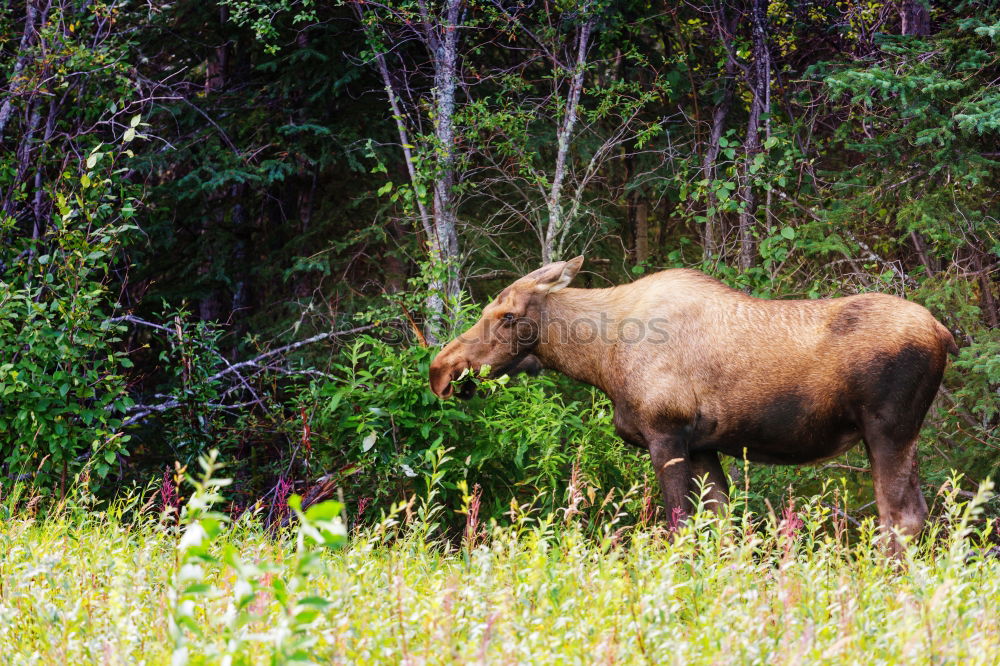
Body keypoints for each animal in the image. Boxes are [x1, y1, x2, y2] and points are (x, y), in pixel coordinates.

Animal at [426, 256, 956, 536]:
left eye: (507, 316)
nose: (440, 371)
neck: (601, 361)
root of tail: (944, 333)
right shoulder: (703, 446)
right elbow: (720, 524)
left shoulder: (668, 434)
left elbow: (678, 525)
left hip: (889, 430)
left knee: (902, 518)